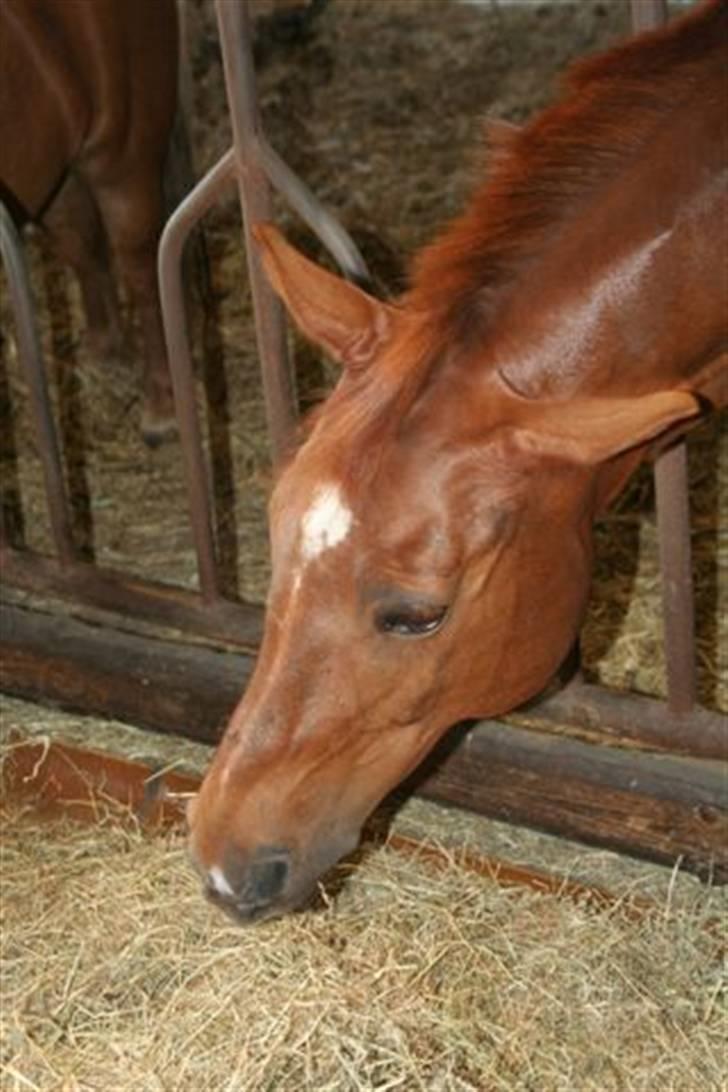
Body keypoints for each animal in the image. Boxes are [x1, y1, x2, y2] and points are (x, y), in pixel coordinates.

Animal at [0, 1, 181, 443]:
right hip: (54, 169)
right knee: (79, 241)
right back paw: (103, 349)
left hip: (123, 155)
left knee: (141, 268)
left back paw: (162, 407)